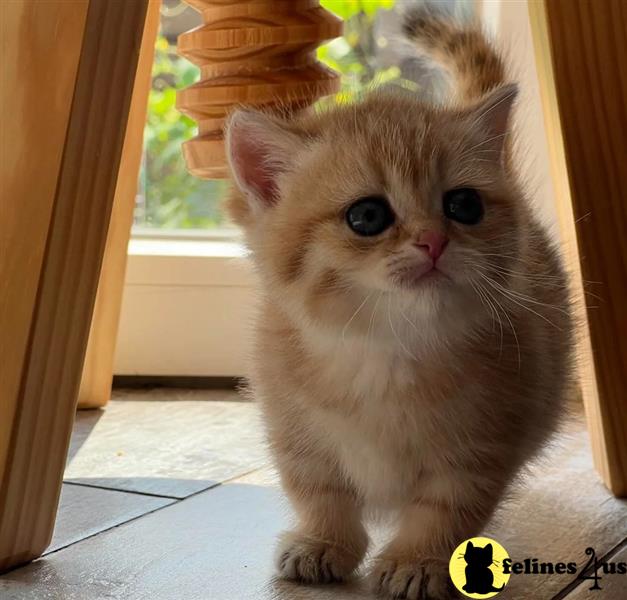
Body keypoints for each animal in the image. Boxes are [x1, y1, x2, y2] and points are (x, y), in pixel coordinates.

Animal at [224, 5, 576, 600]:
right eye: (367, 216)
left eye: (463, 205)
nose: (433, 241)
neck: (385, 353)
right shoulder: (295, 429)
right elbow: (319, 491)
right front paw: (324, 542)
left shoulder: (481, 449)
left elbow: (445, 509)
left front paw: (419, 561)